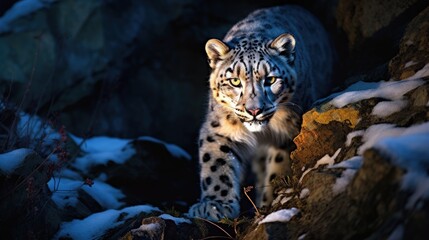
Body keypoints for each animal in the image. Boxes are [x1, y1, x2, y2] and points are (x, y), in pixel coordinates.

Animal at [188, 5, 334, 221]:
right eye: (235, 81)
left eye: (270, 79)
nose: (254, 110)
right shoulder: (218, 128)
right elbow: (216, 165)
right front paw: (215, 206)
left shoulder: (289, 129)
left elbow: (279, 163)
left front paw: (269, 201)